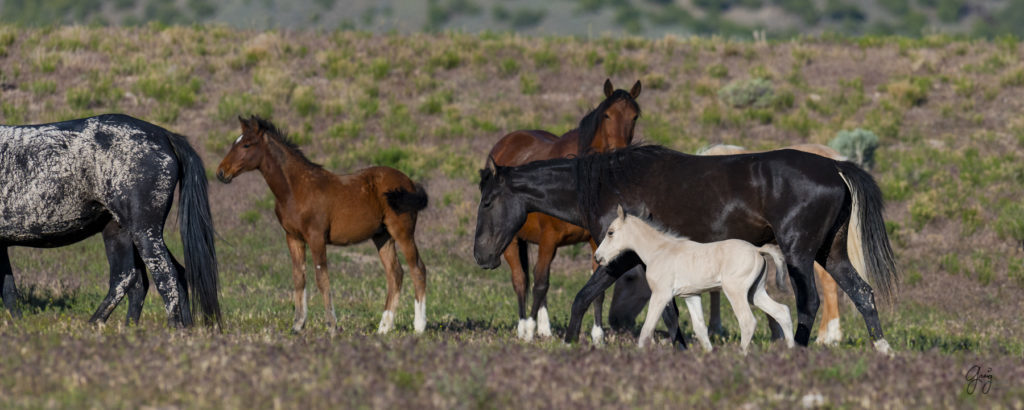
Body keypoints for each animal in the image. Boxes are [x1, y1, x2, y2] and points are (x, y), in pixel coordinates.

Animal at [2, 113, 220, 328]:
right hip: (123, 233)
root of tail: (163, 135)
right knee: (138, 278)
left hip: (144, 232)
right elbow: (9, 291)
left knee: (163, 276)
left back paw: (171, 327)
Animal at [218, 114, 430, 332]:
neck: (296, 189)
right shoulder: (293, 237)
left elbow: (322, 278)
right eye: (234, 143)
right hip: (382, 236)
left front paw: (331, 326)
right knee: (395, 274)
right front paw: (297, 325)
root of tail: (410, 183)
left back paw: (419, 326)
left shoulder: (316, 237)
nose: (221, 172)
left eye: (246, 144)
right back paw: (384, 328)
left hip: (402, 232)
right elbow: (299, 278)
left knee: (418, 269)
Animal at [485, 78, 643, 340]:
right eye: (607, 115)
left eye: (635, 116)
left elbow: (597, 289)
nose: (620, 155)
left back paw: (544, 328)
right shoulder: (549, 239)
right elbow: (540, 283)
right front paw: (529, 330)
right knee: (521, 280)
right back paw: (524, 326)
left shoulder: (596, 241)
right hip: (511, 240)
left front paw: (598, 335)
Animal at [593, 207, 798, 354]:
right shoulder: (691, 296)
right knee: (782, 312)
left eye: (610, 232)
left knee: (748, 321)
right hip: (755, 292)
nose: (598, 257)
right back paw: (791, 351)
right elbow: (700, 329)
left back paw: (741, 354)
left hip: (736, 292)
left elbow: (646, 330)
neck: (659, 251)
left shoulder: (661, 294)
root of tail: (758, 250)